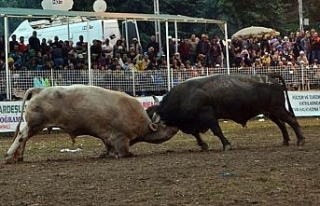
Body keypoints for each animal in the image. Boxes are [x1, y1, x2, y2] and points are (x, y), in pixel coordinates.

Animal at [4, 84, 178, 163]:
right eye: (164, 123)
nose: (176, 126)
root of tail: (39, 90)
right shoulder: (121, 138)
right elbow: (124, 152)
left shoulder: (107, 137)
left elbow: (108, 147)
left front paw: (106, 153)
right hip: (35, 123)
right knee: (22, 135)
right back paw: (8, 156)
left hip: (34, 124)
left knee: (24, 137)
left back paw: (19, 156)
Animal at [130, 73, 304, 150]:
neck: (185, 96)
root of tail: (269, 75)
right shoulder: (191, 122)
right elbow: (195, 134)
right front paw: (203, 145)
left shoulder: (208, 116)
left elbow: (217, 131)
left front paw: (226, 144)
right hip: (269, 112)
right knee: (282, 124)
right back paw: (286, 140)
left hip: (277, 108)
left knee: (291, 120)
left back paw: (300, 140)